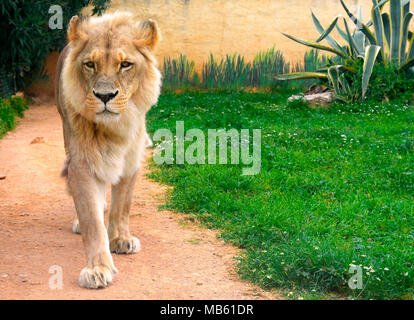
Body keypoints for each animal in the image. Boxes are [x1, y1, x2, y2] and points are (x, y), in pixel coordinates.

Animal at [55, 12, 163, 288]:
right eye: (89, 65)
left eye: (125, 64)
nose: (104, 96)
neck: (112, 129)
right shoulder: (81, 163)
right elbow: (92, 223)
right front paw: (97, 268)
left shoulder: (131, 160)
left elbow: (122, 206)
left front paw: (121, 239)